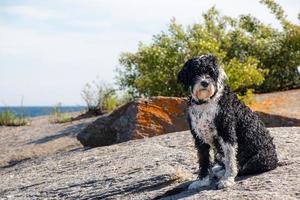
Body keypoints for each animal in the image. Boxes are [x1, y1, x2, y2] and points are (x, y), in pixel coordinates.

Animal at [177, 54, 278, 189]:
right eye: (195, 72)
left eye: (211, 72)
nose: (204, 83)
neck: (206, 102)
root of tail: (275, 159)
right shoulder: (199, 137)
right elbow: (203, 160)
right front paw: (202, 180)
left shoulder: (226, 131)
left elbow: (230, 159)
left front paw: (227, 179)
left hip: (258, 159)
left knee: (242, 168)